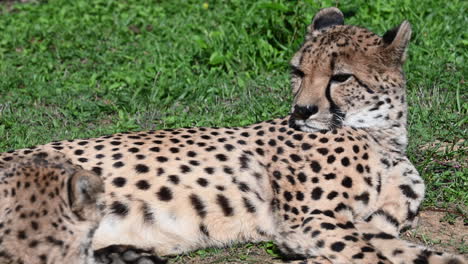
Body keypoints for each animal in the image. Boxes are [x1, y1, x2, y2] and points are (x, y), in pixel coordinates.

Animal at [0, 7, 466, 264]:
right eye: (298, 72)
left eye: (341, 77)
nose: (302, 110)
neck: (380, 135)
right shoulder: (310, 222)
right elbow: (364, 256)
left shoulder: (368, 225)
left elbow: (406, 250)